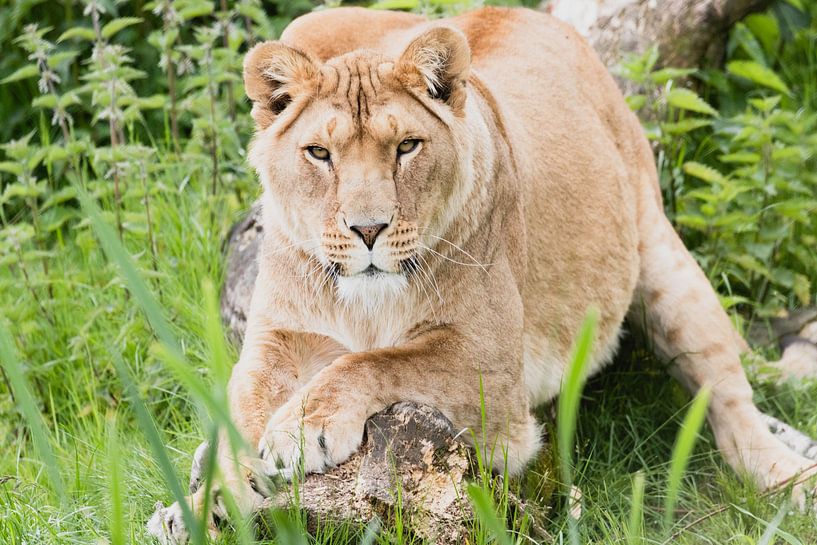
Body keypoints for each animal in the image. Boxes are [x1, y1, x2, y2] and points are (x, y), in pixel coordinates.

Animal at [148, 6, 817, 542]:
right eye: (319, 153)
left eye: (407, 147)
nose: (369, 230)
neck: (365, 303)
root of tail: (528, 13)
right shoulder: (279, 339)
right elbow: (237, 409)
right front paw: (205, 497)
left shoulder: (496, 378)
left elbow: (376, 361)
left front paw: (297, 431)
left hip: (664, 263)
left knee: (730, 398)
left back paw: (787, 479)